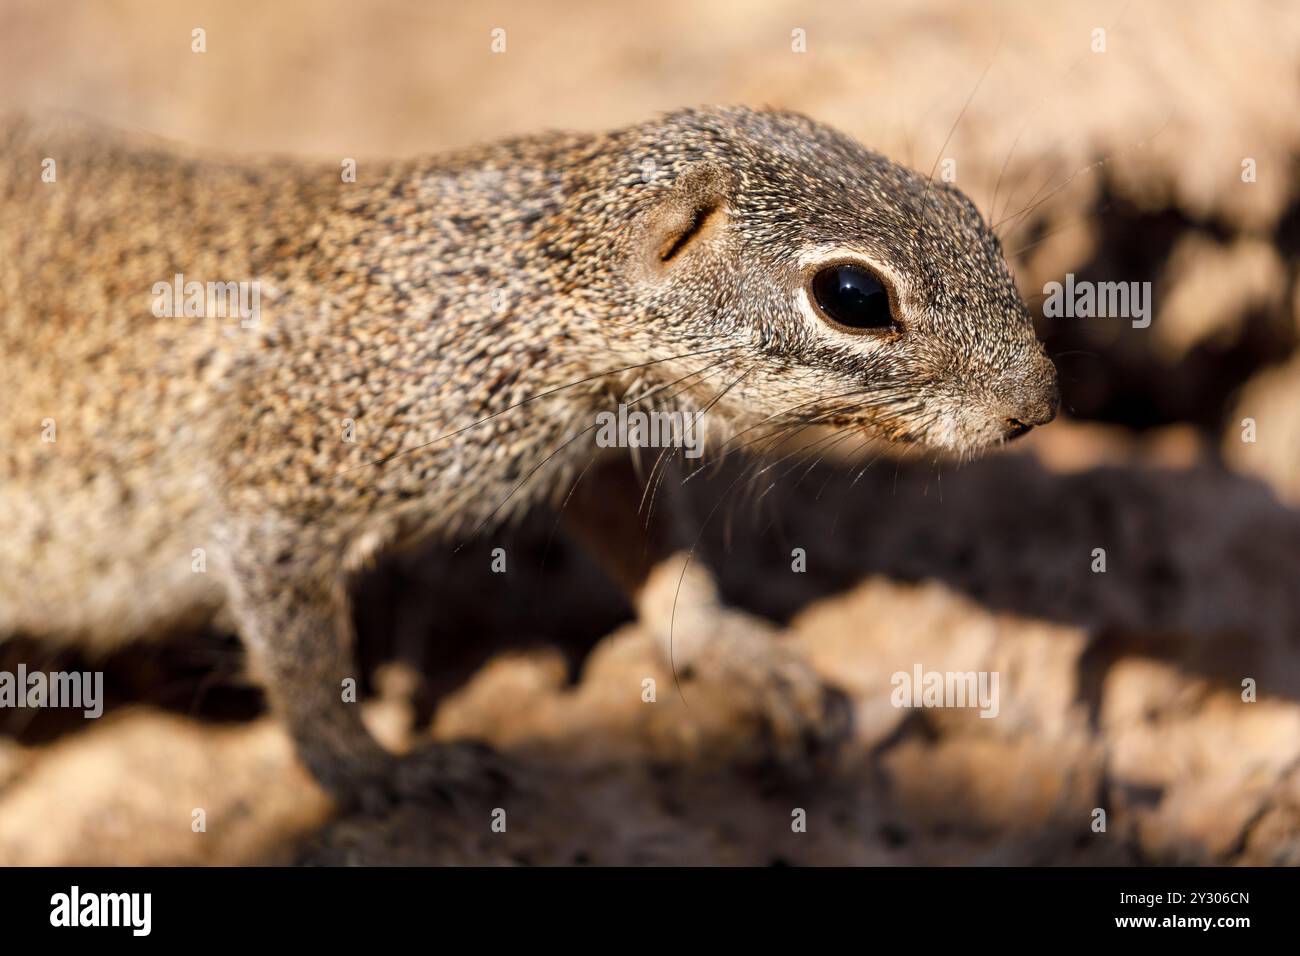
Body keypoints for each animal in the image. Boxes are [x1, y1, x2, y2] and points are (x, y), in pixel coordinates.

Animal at [0, 108, 1055, 806]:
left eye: (973, 217)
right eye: (852, 294)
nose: (1038, 405)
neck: (516, 279)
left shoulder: (590, 449)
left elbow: (657, 558)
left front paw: (737, 654)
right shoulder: (285, 470)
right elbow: (300, 659)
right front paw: (378, 770)